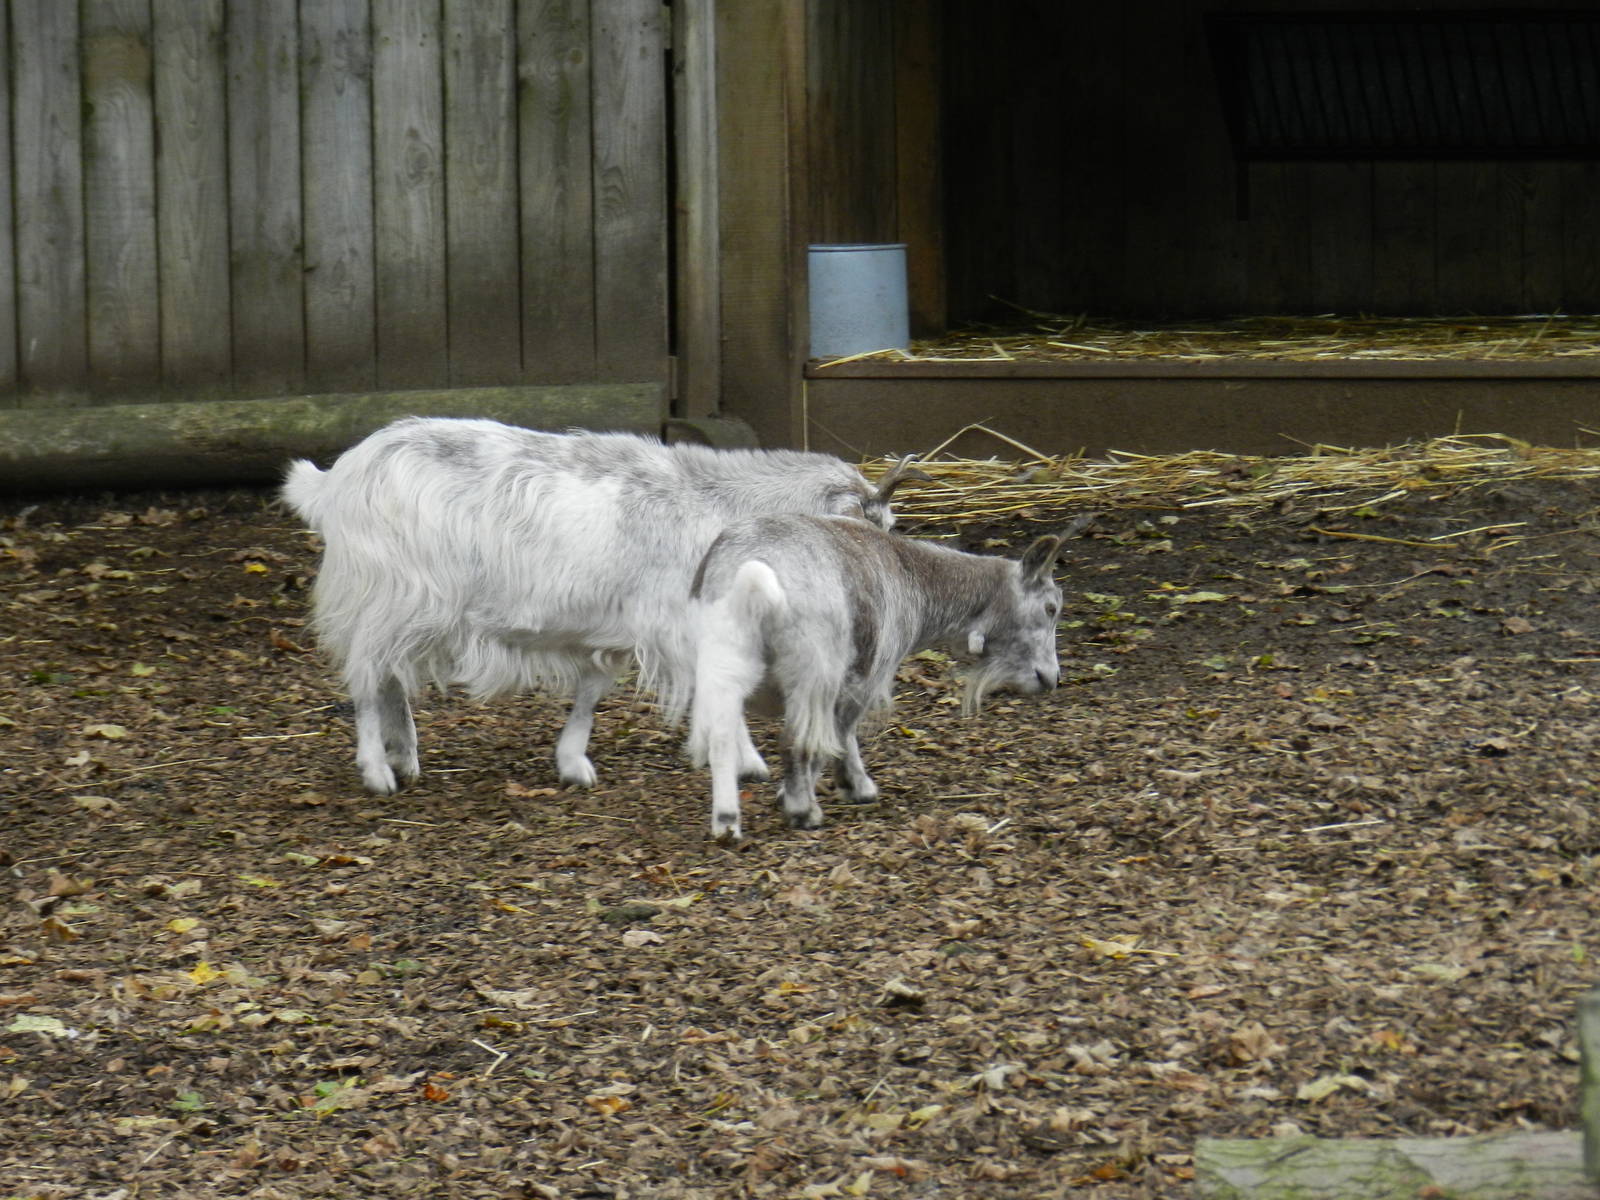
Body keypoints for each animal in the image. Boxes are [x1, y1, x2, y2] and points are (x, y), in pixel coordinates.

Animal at [280, 417, 922, 794]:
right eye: (877, 528)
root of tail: (333, 481)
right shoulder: (682, 625)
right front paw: (745, 761)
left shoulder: (615, 629)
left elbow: (591, 692)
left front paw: (572, 762)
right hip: (392, 598)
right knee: (367, 680)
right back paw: (377, 770)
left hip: (399, 611)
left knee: (386, 677)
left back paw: (405, 755)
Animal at [686, 515, 1066, 841]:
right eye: (1050, 608)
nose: (1050, 678)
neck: (910, 576)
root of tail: (746, 573)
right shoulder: (865, 677)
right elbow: (840, 733)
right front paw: (853, 787)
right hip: (813, 670)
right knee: (798, 740)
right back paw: (803, 810)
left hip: (721, 663)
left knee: (722, 738)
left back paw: (726, 822)